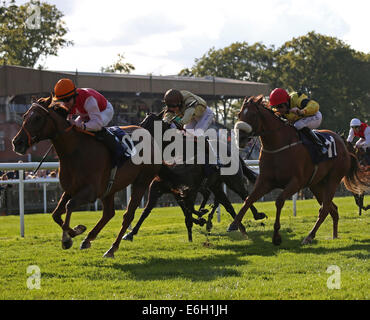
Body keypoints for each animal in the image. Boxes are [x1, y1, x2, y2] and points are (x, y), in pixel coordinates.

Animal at [12, 95, 160, 258]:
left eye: (37, 118)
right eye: (24, 116)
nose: (17, 142)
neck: (75, 151)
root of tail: (147, 133)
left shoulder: (90, 192)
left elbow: (69, 206)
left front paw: (67, 239)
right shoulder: (71, 189)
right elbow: (56, 214)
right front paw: (76, 231)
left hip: (141, 181)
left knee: (128, 215)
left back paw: (112, 248)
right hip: (110, 188)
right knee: (108, 213)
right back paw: (88, 239)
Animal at [228, 95, 370, 245]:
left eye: (253, 115)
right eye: (239, 114)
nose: (241, 138)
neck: (278, 145)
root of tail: (344, 146)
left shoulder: (296, 183)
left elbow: (279, 201)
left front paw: (276, 236)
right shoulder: (265, 181)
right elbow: (248, 199)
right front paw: (234, 224)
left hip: (333, 180)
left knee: (324, 209)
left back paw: (309, 236)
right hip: (316, 185)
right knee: (332, 209)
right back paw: (334, 235)